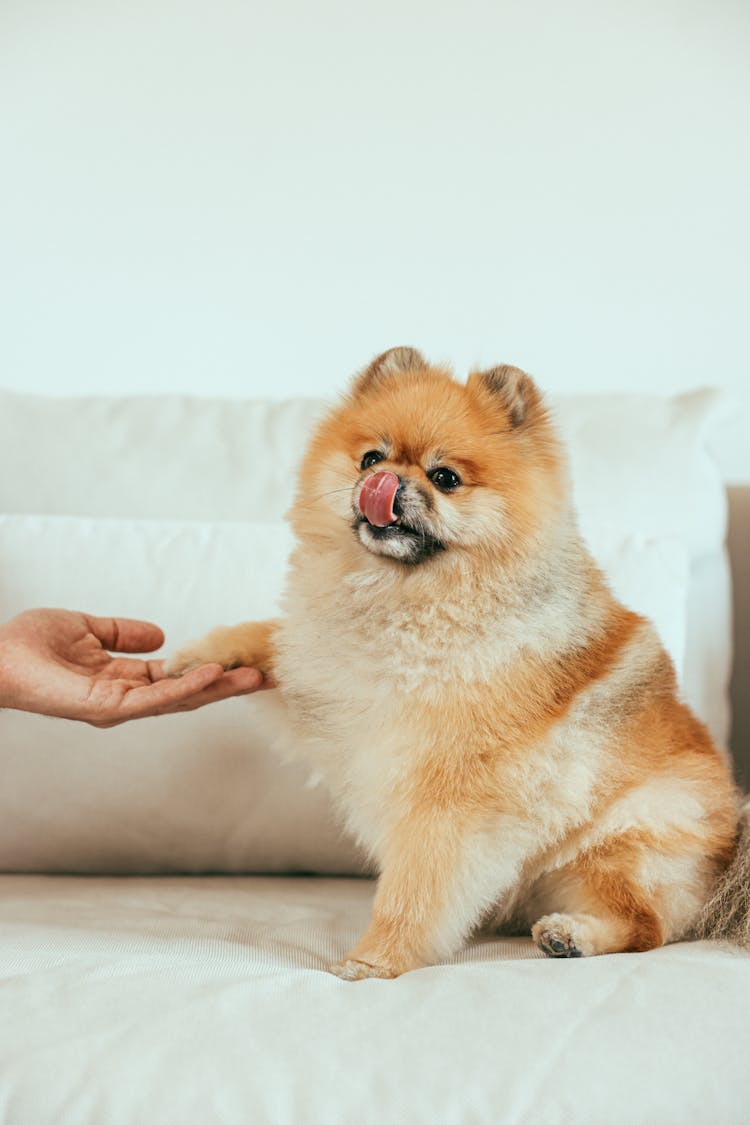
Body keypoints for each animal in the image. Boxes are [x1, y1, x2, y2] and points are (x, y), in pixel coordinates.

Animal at [167, 348, 742, 976]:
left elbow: (415, 889)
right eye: (371, 456)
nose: (385, 481)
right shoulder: (329, 682)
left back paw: (571, 935)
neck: (410, 601)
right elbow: (273, 637)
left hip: (620, 838)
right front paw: (205, 656)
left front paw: (375, 961)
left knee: (647, 924)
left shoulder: (451, 797)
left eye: (445, 478)